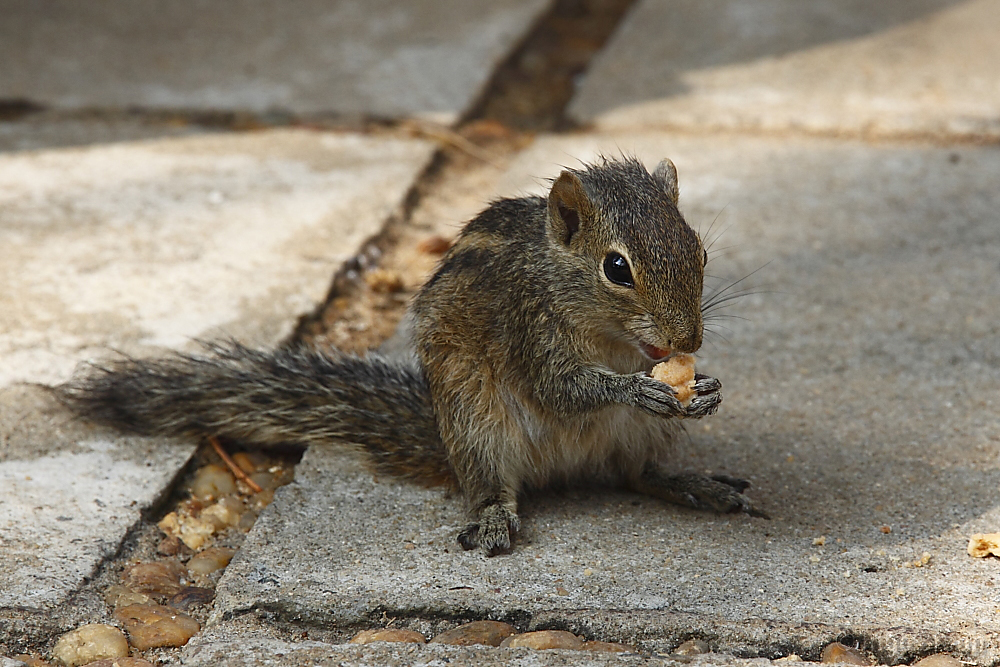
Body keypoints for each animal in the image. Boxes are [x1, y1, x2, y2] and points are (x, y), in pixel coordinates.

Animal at [56, 158, 764, 560]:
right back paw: (494, 517)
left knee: (634, 473)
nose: (688, 341)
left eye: (699, 250)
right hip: (478, 422)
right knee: (493, 486)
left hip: (629, 441)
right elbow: (561, 387)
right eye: (617, 269)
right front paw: (637, 387)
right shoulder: (526, 328)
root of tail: (565, 468)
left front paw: (705, 388)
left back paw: (690, 483)